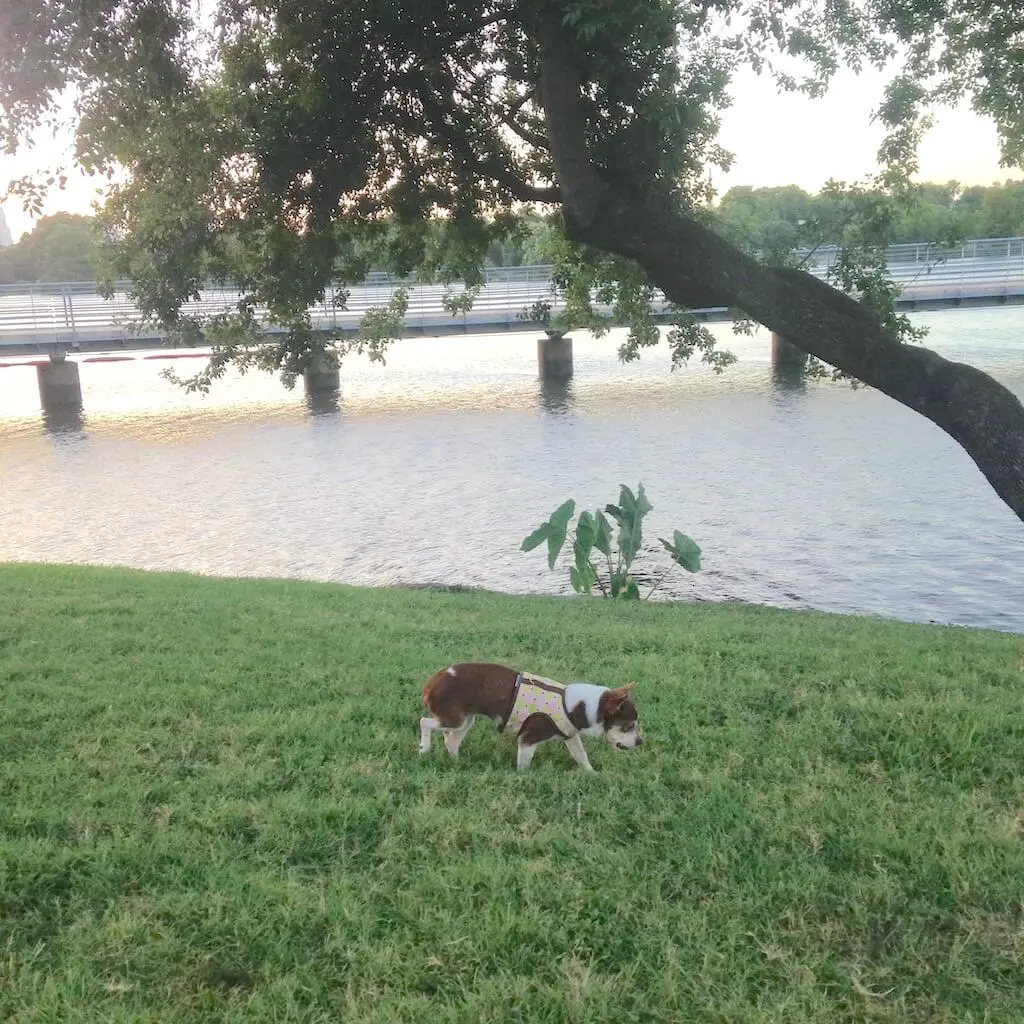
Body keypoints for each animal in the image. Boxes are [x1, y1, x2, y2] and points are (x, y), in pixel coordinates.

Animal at [415, 659, 638, 770]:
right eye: (628, 727)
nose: (640, 741)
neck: (574, 705)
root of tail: (431, 683)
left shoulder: (571, 736)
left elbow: (581, 756)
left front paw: (592, 774)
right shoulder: (528, 738)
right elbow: (524, 763)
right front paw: (523, 778)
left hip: (465, 721)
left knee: (450, 741)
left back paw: (457, 762)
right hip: (454, 719)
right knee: (424, 722)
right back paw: (424, 748)